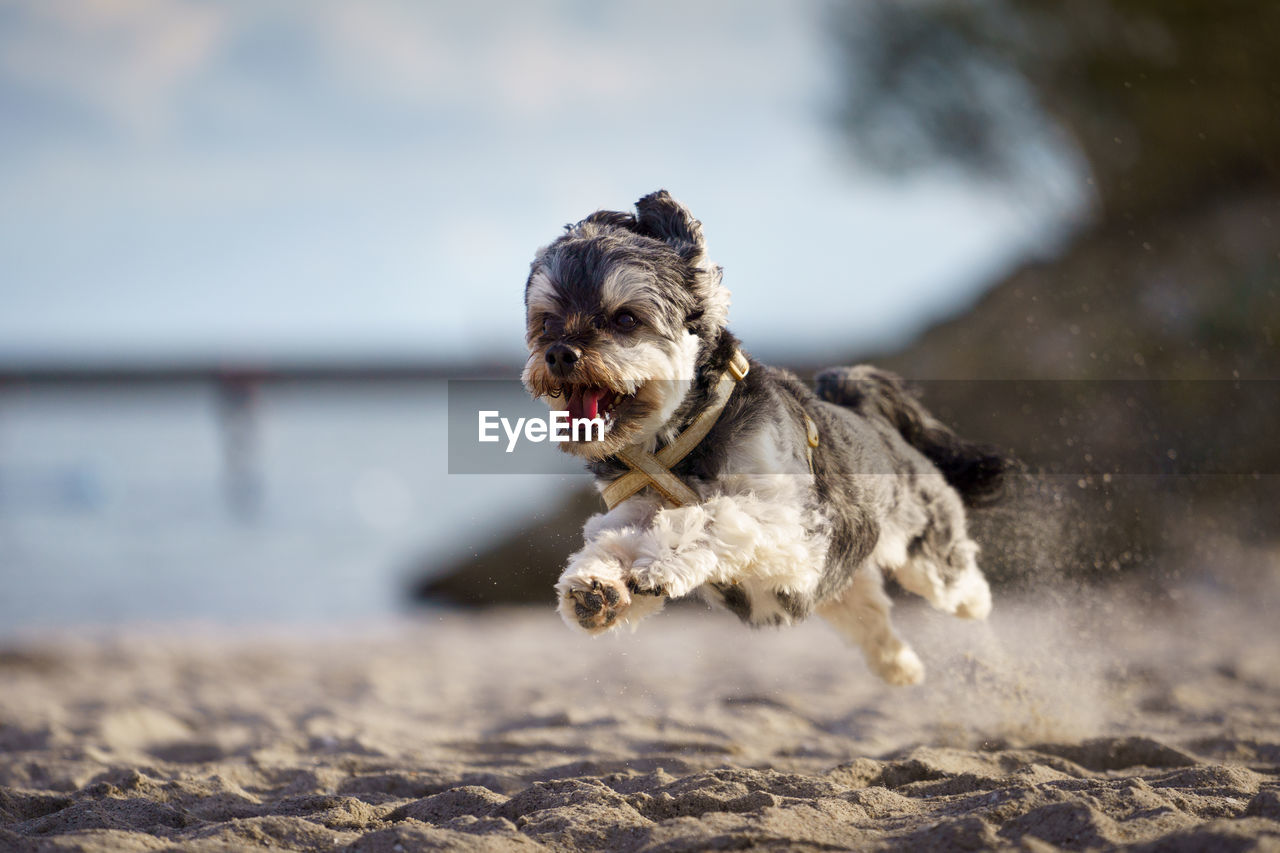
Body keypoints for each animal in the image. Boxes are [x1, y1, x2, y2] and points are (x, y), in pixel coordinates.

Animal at [517, 190, 998, 686]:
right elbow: (613, 537)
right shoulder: (636, 506)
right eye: (547, 323)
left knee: (956, 583)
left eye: (626, 319)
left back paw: (978, 615)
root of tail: (874, 419)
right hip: (838, 586)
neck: (681, 442)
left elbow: (715, 515)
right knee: (869, 614)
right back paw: (899, 667)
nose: (560, 353)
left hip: (926, 549)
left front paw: (665, 558)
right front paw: (599, 584)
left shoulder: (797, 527)